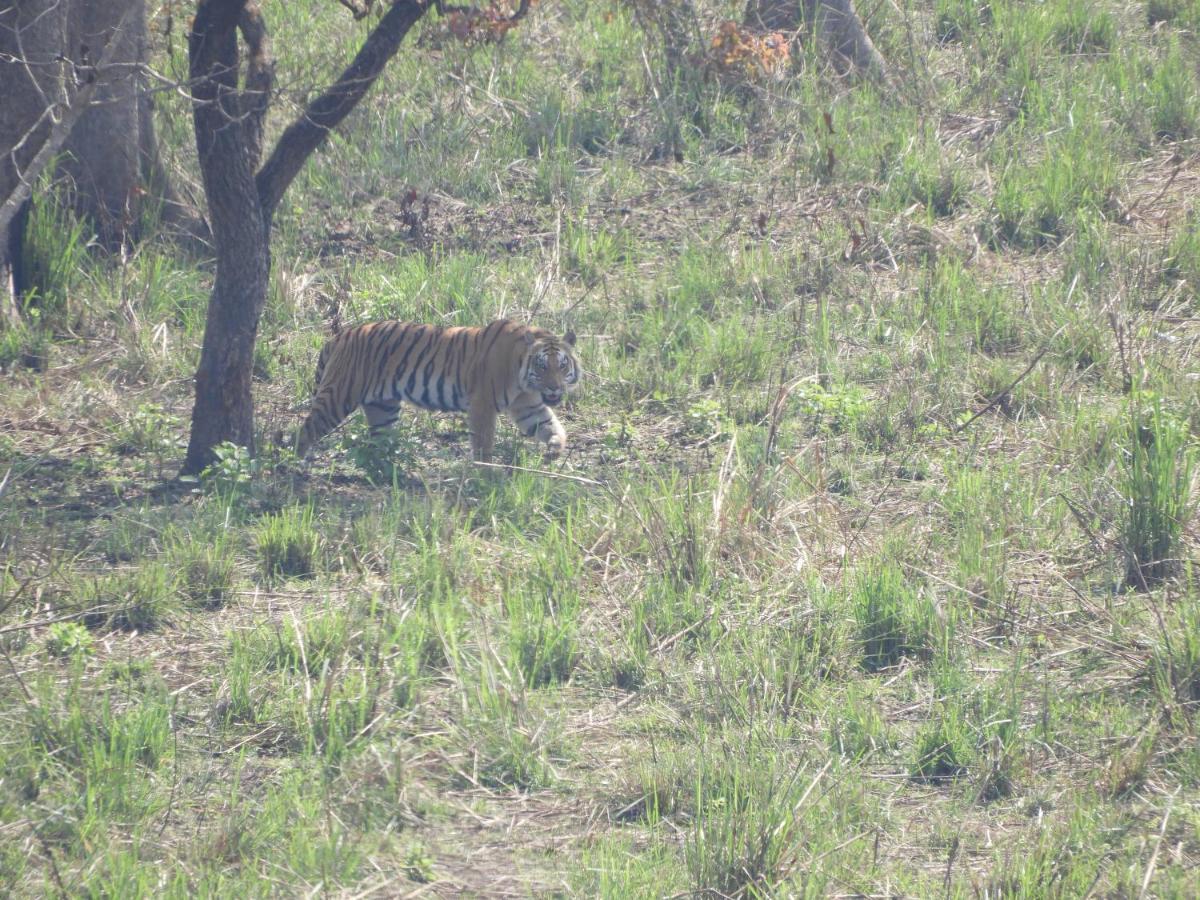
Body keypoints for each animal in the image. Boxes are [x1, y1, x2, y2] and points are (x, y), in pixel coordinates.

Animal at [297, 321, 583, 465]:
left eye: (562, 365)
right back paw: (296, 463)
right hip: (337, 397)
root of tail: (340, 335)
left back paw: (385, 470)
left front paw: (554, 449)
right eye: (542, 366)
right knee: (306, 430)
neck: (524, 379)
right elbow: (483, 442)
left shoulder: (528, 406)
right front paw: (485, 472)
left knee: (378, 442)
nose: (554, 387)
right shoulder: (482, 404)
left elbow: (550, 426)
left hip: (383, 407)